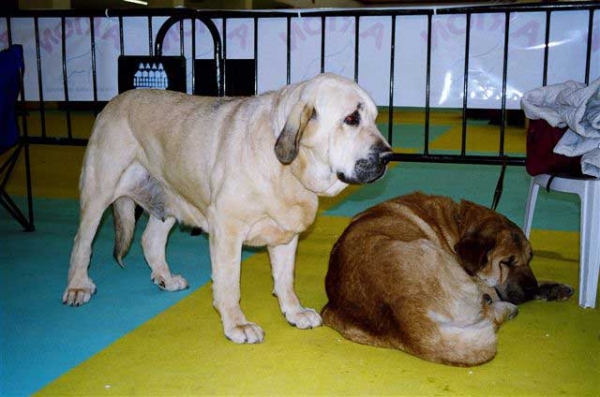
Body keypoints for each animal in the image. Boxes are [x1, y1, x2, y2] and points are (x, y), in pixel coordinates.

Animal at [63, 72, 392, 342]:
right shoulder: (227, 231)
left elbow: (285, 279)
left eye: (374, 118)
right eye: (351, 119)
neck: (287, 166)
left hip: (169, 197)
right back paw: (78, 286)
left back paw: (165, 278)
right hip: (99, 190)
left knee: (150, 240)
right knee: (82, 242)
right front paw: (237, 325)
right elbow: (229, 284)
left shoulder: (285, 235)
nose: (388, 156)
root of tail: (114, 101)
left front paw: (294, 312)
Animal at [322, 191, 576, 366]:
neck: (459, 222)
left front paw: (551, 288)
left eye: (529, 258)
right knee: (488, 312)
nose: (531, 289)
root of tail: (404, 315)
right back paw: (507, 308)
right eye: (507, 262)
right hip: (435, 254)